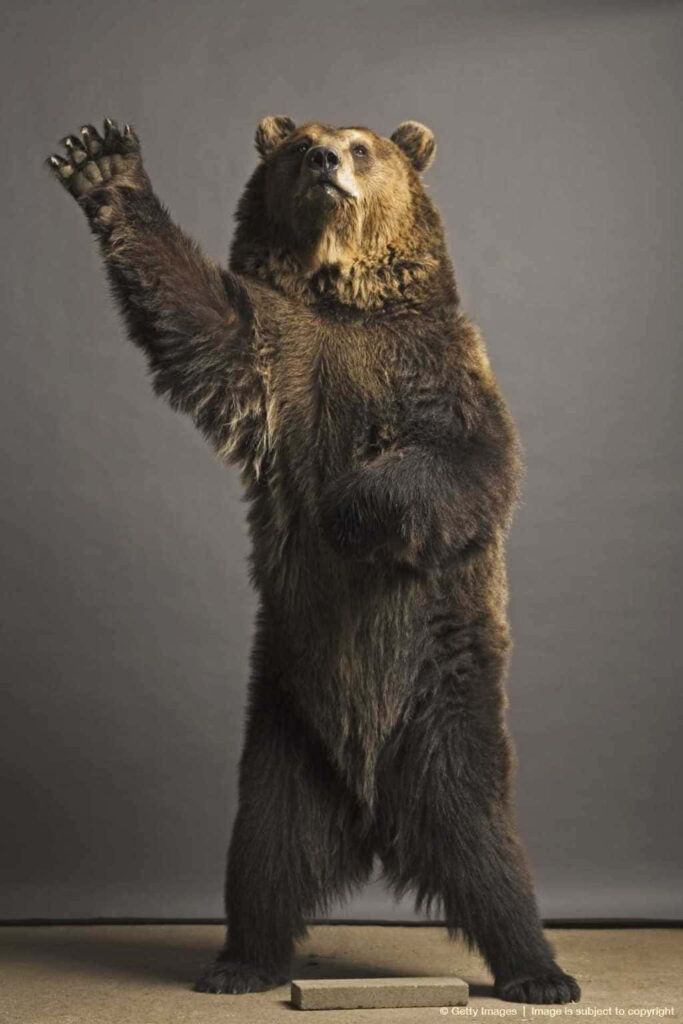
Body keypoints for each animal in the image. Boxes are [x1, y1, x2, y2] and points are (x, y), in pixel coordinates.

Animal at [47, 115, 581, 1005]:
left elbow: (466, 459)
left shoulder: (436, 366)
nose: (328, 159)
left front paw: (346, 509)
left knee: (487, 846)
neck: (342, 303)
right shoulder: (273, 354)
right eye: (302, 146)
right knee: (265, 854)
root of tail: (371, 813)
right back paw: (239, 962)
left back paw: (538, 970)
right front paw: (100, 161)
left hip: (445, 705)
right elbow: (196, 316)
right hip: (284, 727)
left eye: (362, 145)